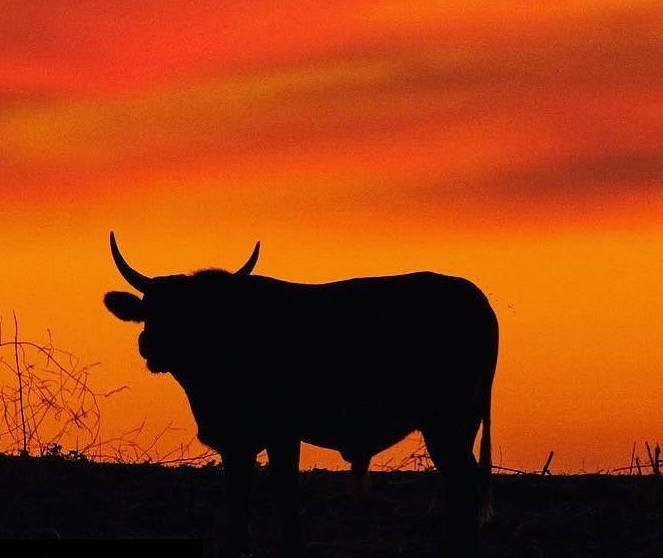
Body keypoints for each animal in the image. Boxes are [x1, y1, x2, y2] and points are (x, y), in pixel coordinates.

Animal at [102, 232, 498, 556]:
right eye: (148, 311)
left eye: (193, 314)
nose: (150, 345)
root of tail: (474, 297)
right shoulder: (235, 440)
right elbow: (237, 498)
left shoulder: (282, 433)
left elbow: (284, 495)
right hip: (463, 423)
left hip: (446, 423)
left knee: (465, 486)